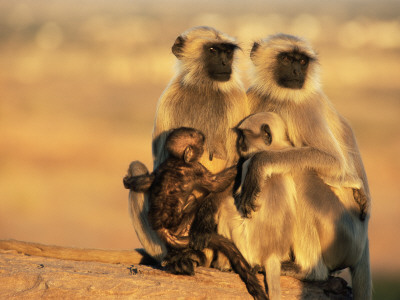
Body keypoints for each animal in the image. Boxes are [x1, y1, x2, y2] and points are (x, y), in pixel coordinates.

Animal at [123, 126, 268, 300]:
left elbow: (148, 180)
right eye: (201, 144)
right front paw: (241, 162)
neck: (178, 161)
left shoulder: (164, 166)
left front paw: (130, 181)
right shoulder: (196, 168)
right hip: (185, 225)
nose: (205, 148)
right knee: (193, 198)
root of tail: (162, 229)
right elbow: (215, 183)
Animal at [238, 34, 372, 298]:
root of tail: (363, 246)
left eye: (301, 60)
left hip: (344, 234)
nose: (297, 71)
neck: (279, 97)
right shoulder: (254, 97)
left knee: (301, 174)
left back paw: (309, 271)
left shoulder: (303, 106)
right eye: (287, 59)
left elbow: (334, 162)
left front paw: (259, 164)